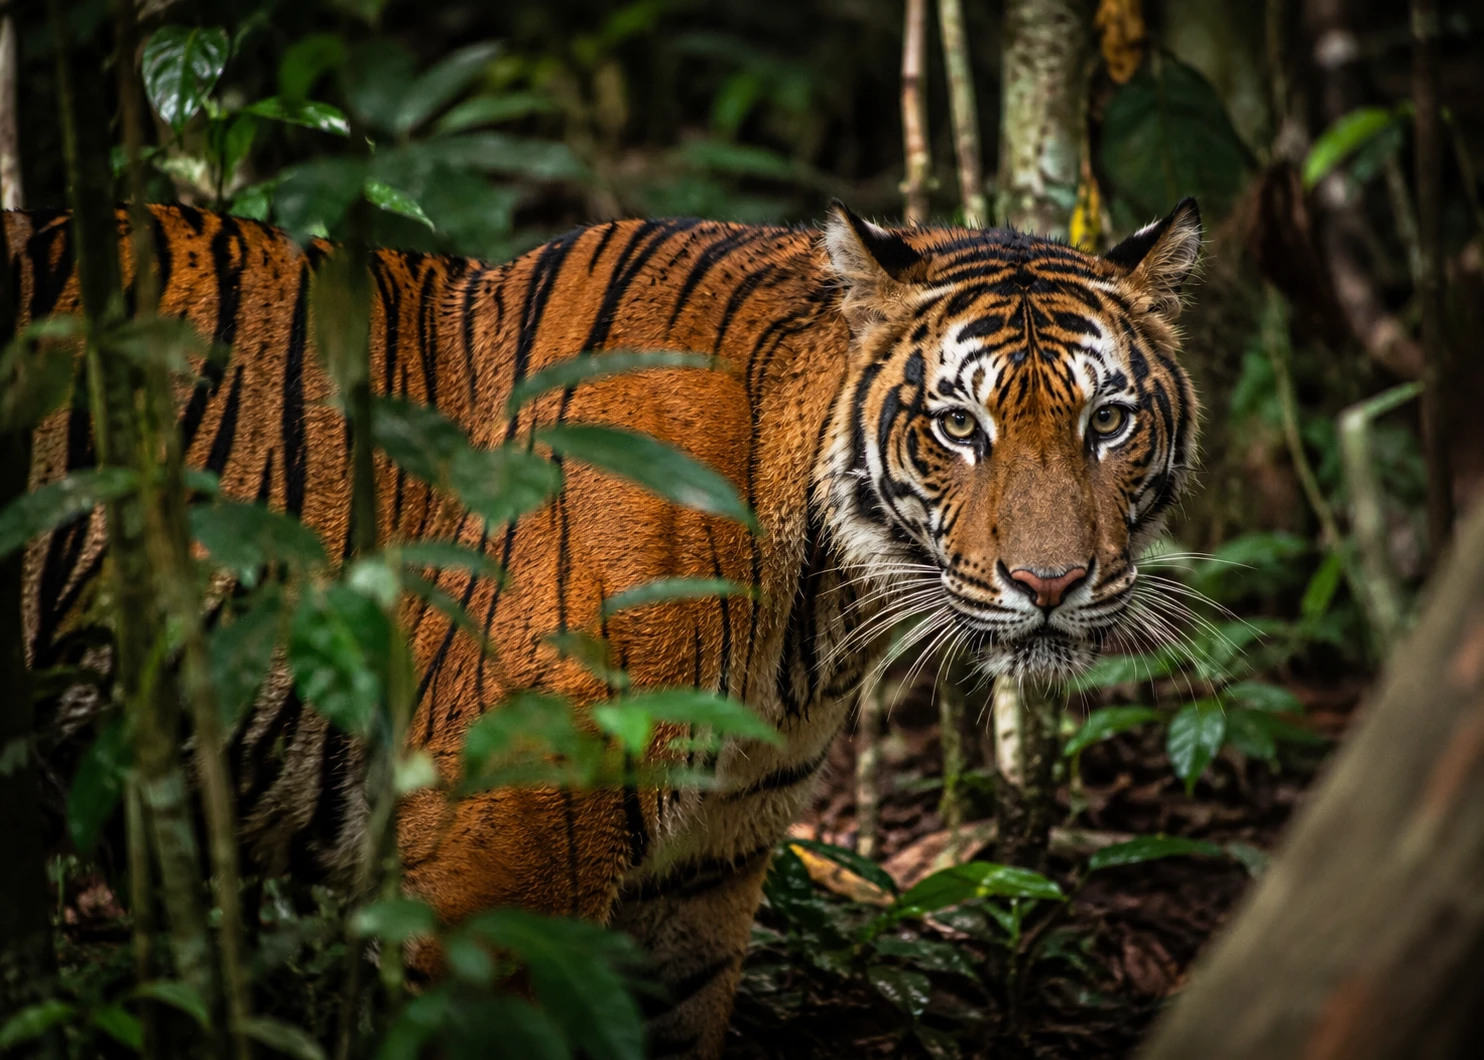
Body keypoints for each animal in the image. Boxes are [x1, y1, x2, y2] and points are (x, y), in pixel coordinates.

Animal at [7, 195, 1201, 1058]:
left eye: (1108, 421)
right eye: (958, 425)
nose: (1050, 582)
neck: (819, 614)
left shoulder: (702, 875)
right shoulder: (491, 875)